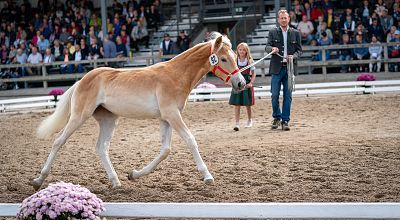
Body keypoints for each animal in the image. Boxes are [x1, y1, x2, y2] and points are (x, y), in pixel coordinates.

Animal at [31, 34, 245, 189]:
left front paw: (134, 174)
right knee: (59, 141)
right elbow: (190, 140)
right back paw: (38, 180)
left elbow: (165, 150)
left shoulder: (166, 119)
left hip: (108, 120)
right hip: (78, 116)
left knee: (101, 148)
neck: (176, 75)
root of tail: (82, 80)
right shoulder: (172, 115)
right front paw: (207, 176)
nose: (241, 83)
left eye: (235, 57)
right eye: (223, 59)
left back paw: (116, 182)